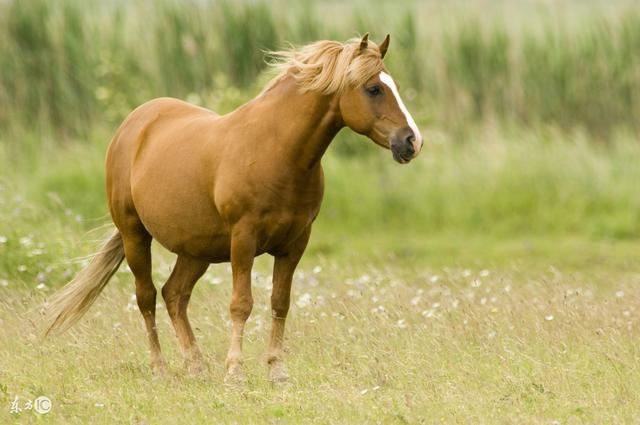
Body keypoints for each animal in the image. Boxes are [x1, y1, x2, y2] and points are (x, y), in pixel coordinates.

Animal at [45, 34, 424, 382]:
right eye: (373, 88)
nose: (411, 141)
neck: (277, 150)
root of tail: (135, 124)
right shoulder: (244, 238)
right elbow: (241, 304)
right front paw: (235, 371)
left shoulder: (295, 243)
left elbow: (280, 303)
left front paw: (276, 370)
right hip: (134, 235)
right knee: (147, 297)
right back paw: (160, 368)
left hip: (196, 249)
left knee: (174, 295)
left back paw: (196, 366)